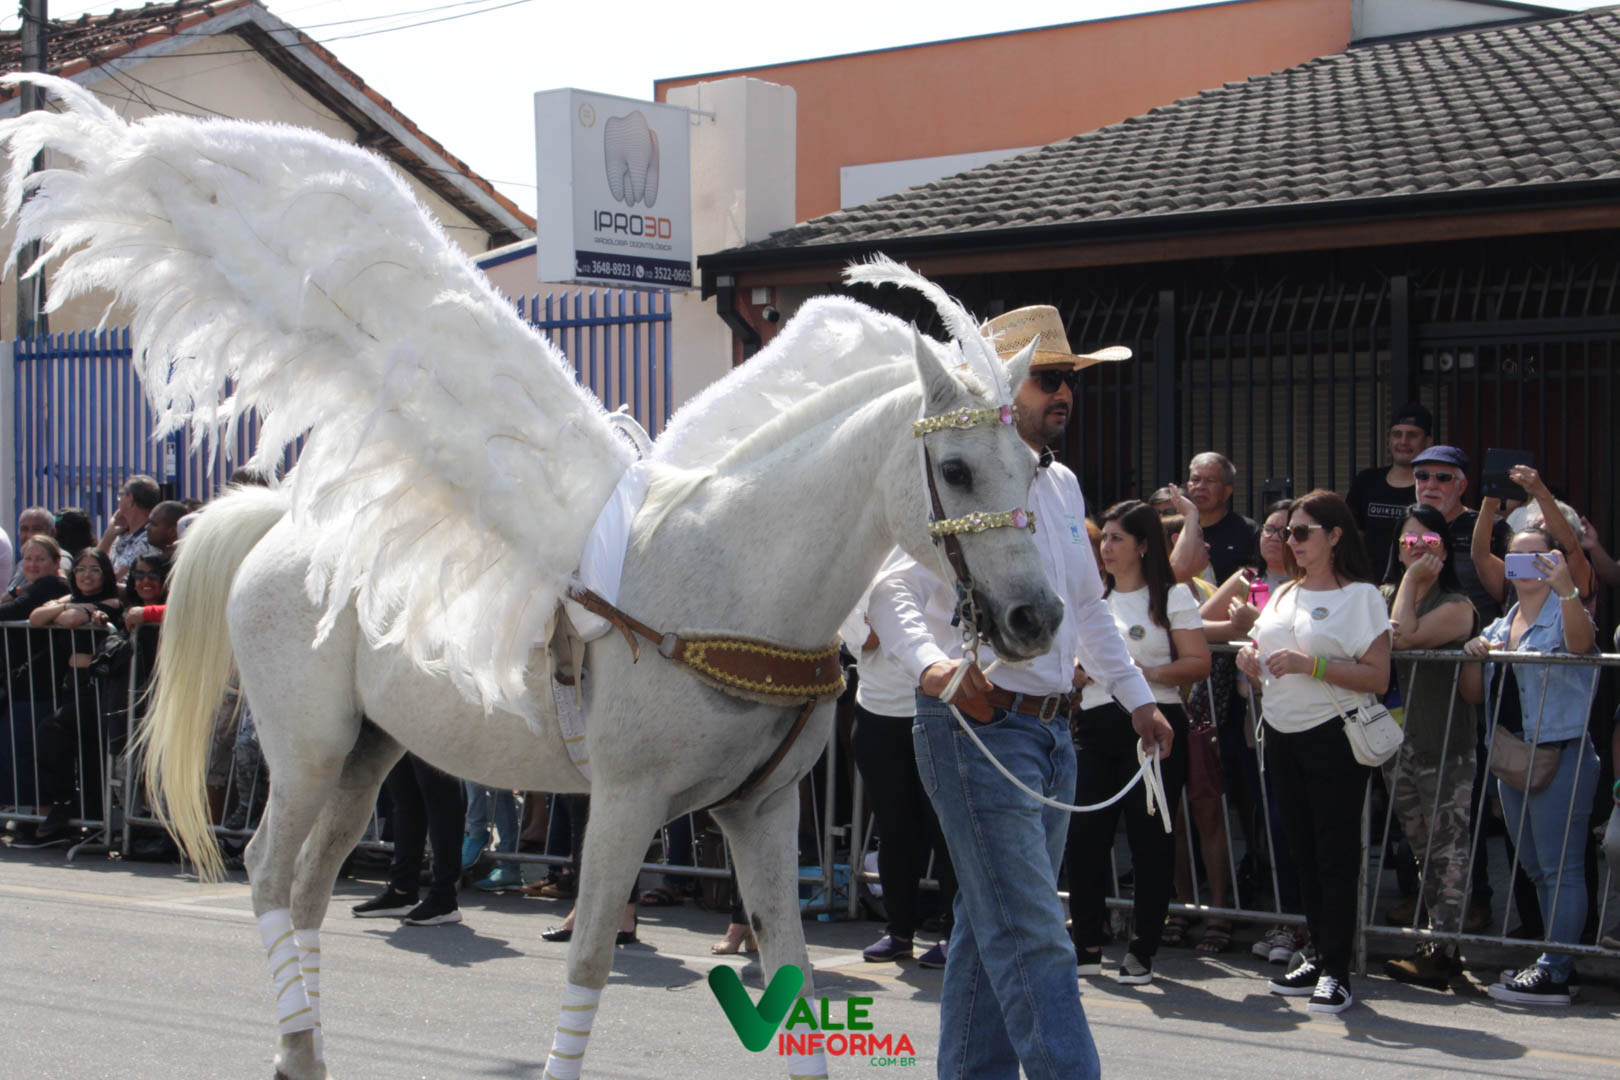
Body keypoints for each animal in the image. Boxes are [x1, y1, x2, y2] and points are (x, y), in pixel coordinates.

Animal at [140, 313, 1063, 1079]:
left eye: (1034, 465)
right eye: (955, 468)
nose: (1037, 617)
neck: (735, 578)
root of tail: (282, 525)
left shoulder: (761, 812)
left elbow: (792, 973)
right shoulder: (627, 802)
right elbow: (588, 958)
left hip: (367, 758)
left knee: (309, 886)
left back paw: (302, 1052)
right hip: (309, 751)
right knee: (267, 871)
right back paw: (297, 1042)